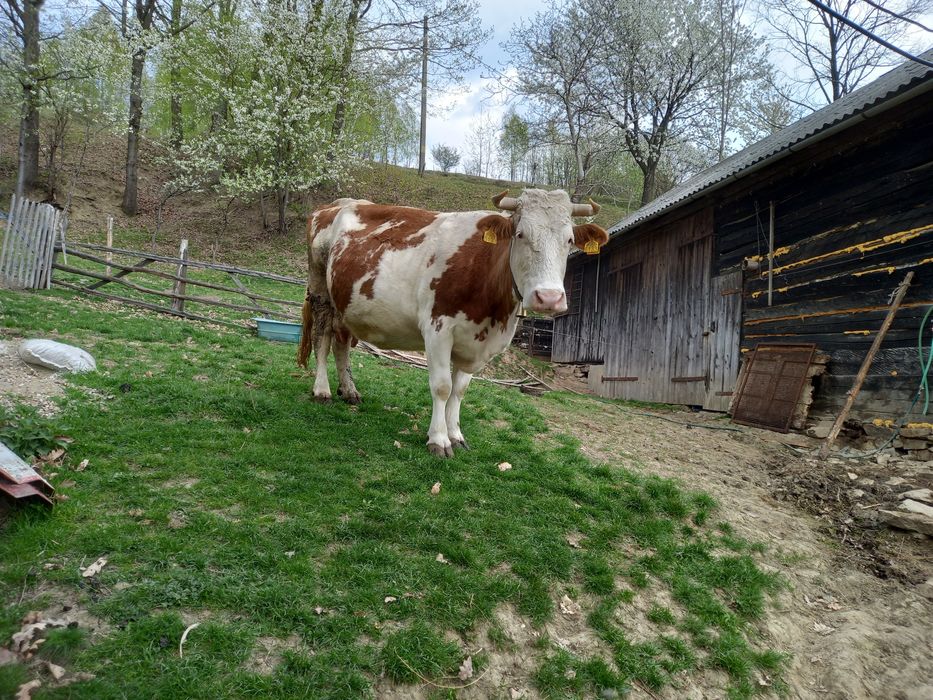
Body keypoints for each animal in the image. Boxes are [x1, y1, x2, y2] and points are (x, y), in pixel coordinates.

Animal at [297, 189, 608, 457]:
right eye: (520, 234)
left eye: (569, 240)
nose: (549, 297)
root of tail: (336, 204)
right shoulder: (437, 330)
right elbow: (442, 386)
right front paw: (439, 439)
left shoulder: (476, 343)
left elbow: (459, 390)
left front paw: (456, 435)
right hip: (321, 293)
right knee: (322, 338)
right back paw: (322, 390)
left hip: (346, 304)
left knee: (341, 343)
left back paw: (349, 391)